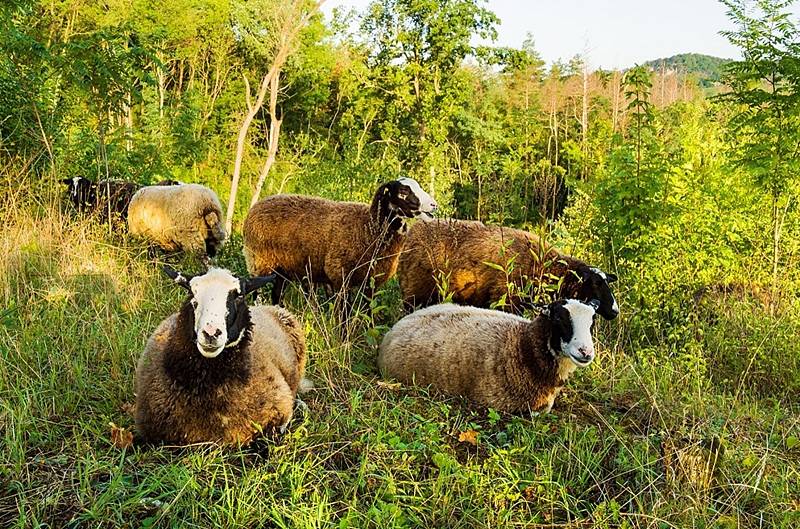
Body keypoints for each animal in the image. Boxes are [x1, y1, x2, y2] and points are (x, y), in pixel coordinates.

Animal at [244, 177, 438, 304]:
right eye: (404, 190)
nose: (434, 205)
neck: (368, 227)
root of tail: (257, 205)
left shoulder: (370, 284)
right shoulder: (340, 279)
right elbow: (344, 317)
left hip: (281, 270)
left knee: (276, 295)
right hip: (259, 262)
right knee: (257, 295)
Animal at [398, 218, 620, 318]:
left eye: (607, 282)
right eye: (595, 283)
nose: (615, 311)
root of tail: (412, 233)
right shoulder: (506, 299)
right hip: (417, 291)